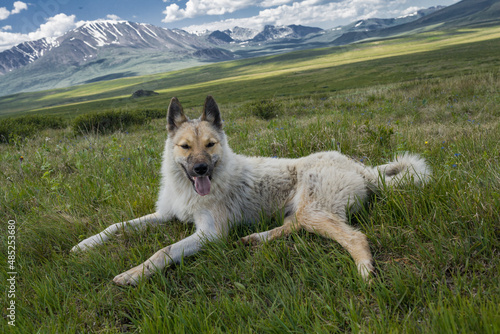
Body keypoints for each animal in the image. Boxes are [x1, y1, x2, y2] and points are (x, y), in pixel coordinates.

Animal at [72, 95, 432, 286]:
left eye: (210, 145)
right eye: (185, 147)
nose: (200, 169)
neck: (189, 187)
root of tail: (362, 168)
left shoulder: (210, 235)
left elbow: (163, 251)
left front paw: (133, 274)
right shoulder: (165, 214)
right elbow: (117, 225)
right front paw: (85, 244)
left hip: (314, 209)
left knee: (354, 237)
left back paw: (365, 273)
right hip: (305, 210)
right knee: (292, 225)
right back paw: (255, 238)